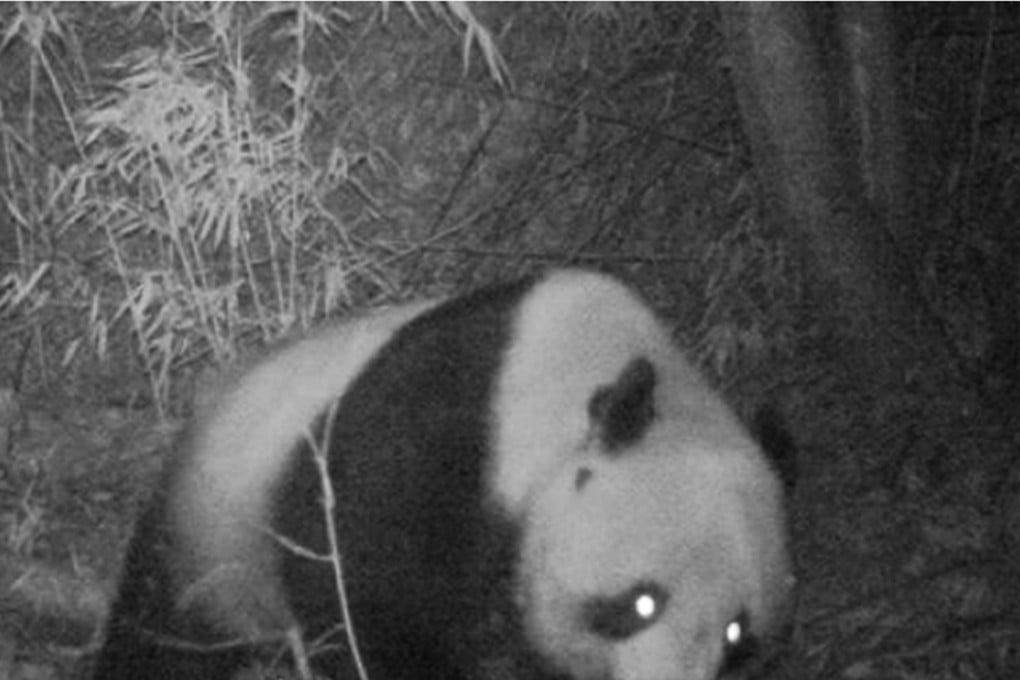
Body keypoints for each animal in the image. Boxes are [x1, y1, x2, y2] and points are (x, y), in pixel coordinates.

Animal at [92, 268, 796, 680]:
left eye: (736, 636)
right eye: (641, 602)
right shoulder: (433, 437)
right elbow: (360, 598)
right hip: (213, 539)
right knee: (165, 641)